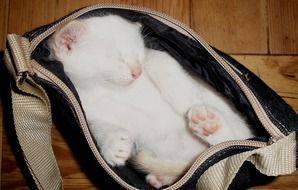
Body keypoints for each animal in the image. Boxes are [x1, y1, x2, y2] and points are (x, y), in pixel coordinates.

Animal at [49, 14, 254, 189]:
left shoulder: (156, 56)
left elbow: (162, 63)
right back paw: (165, 175)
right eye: (118, 58)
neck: (108, 90)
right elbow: (97, 127)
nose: (137, 72)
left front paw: (187, 100)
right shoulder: (86, 109)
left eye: (139, 55)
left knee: (231, 145)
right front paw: (113, 145)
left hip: (236, 129)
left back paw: (208, 123)